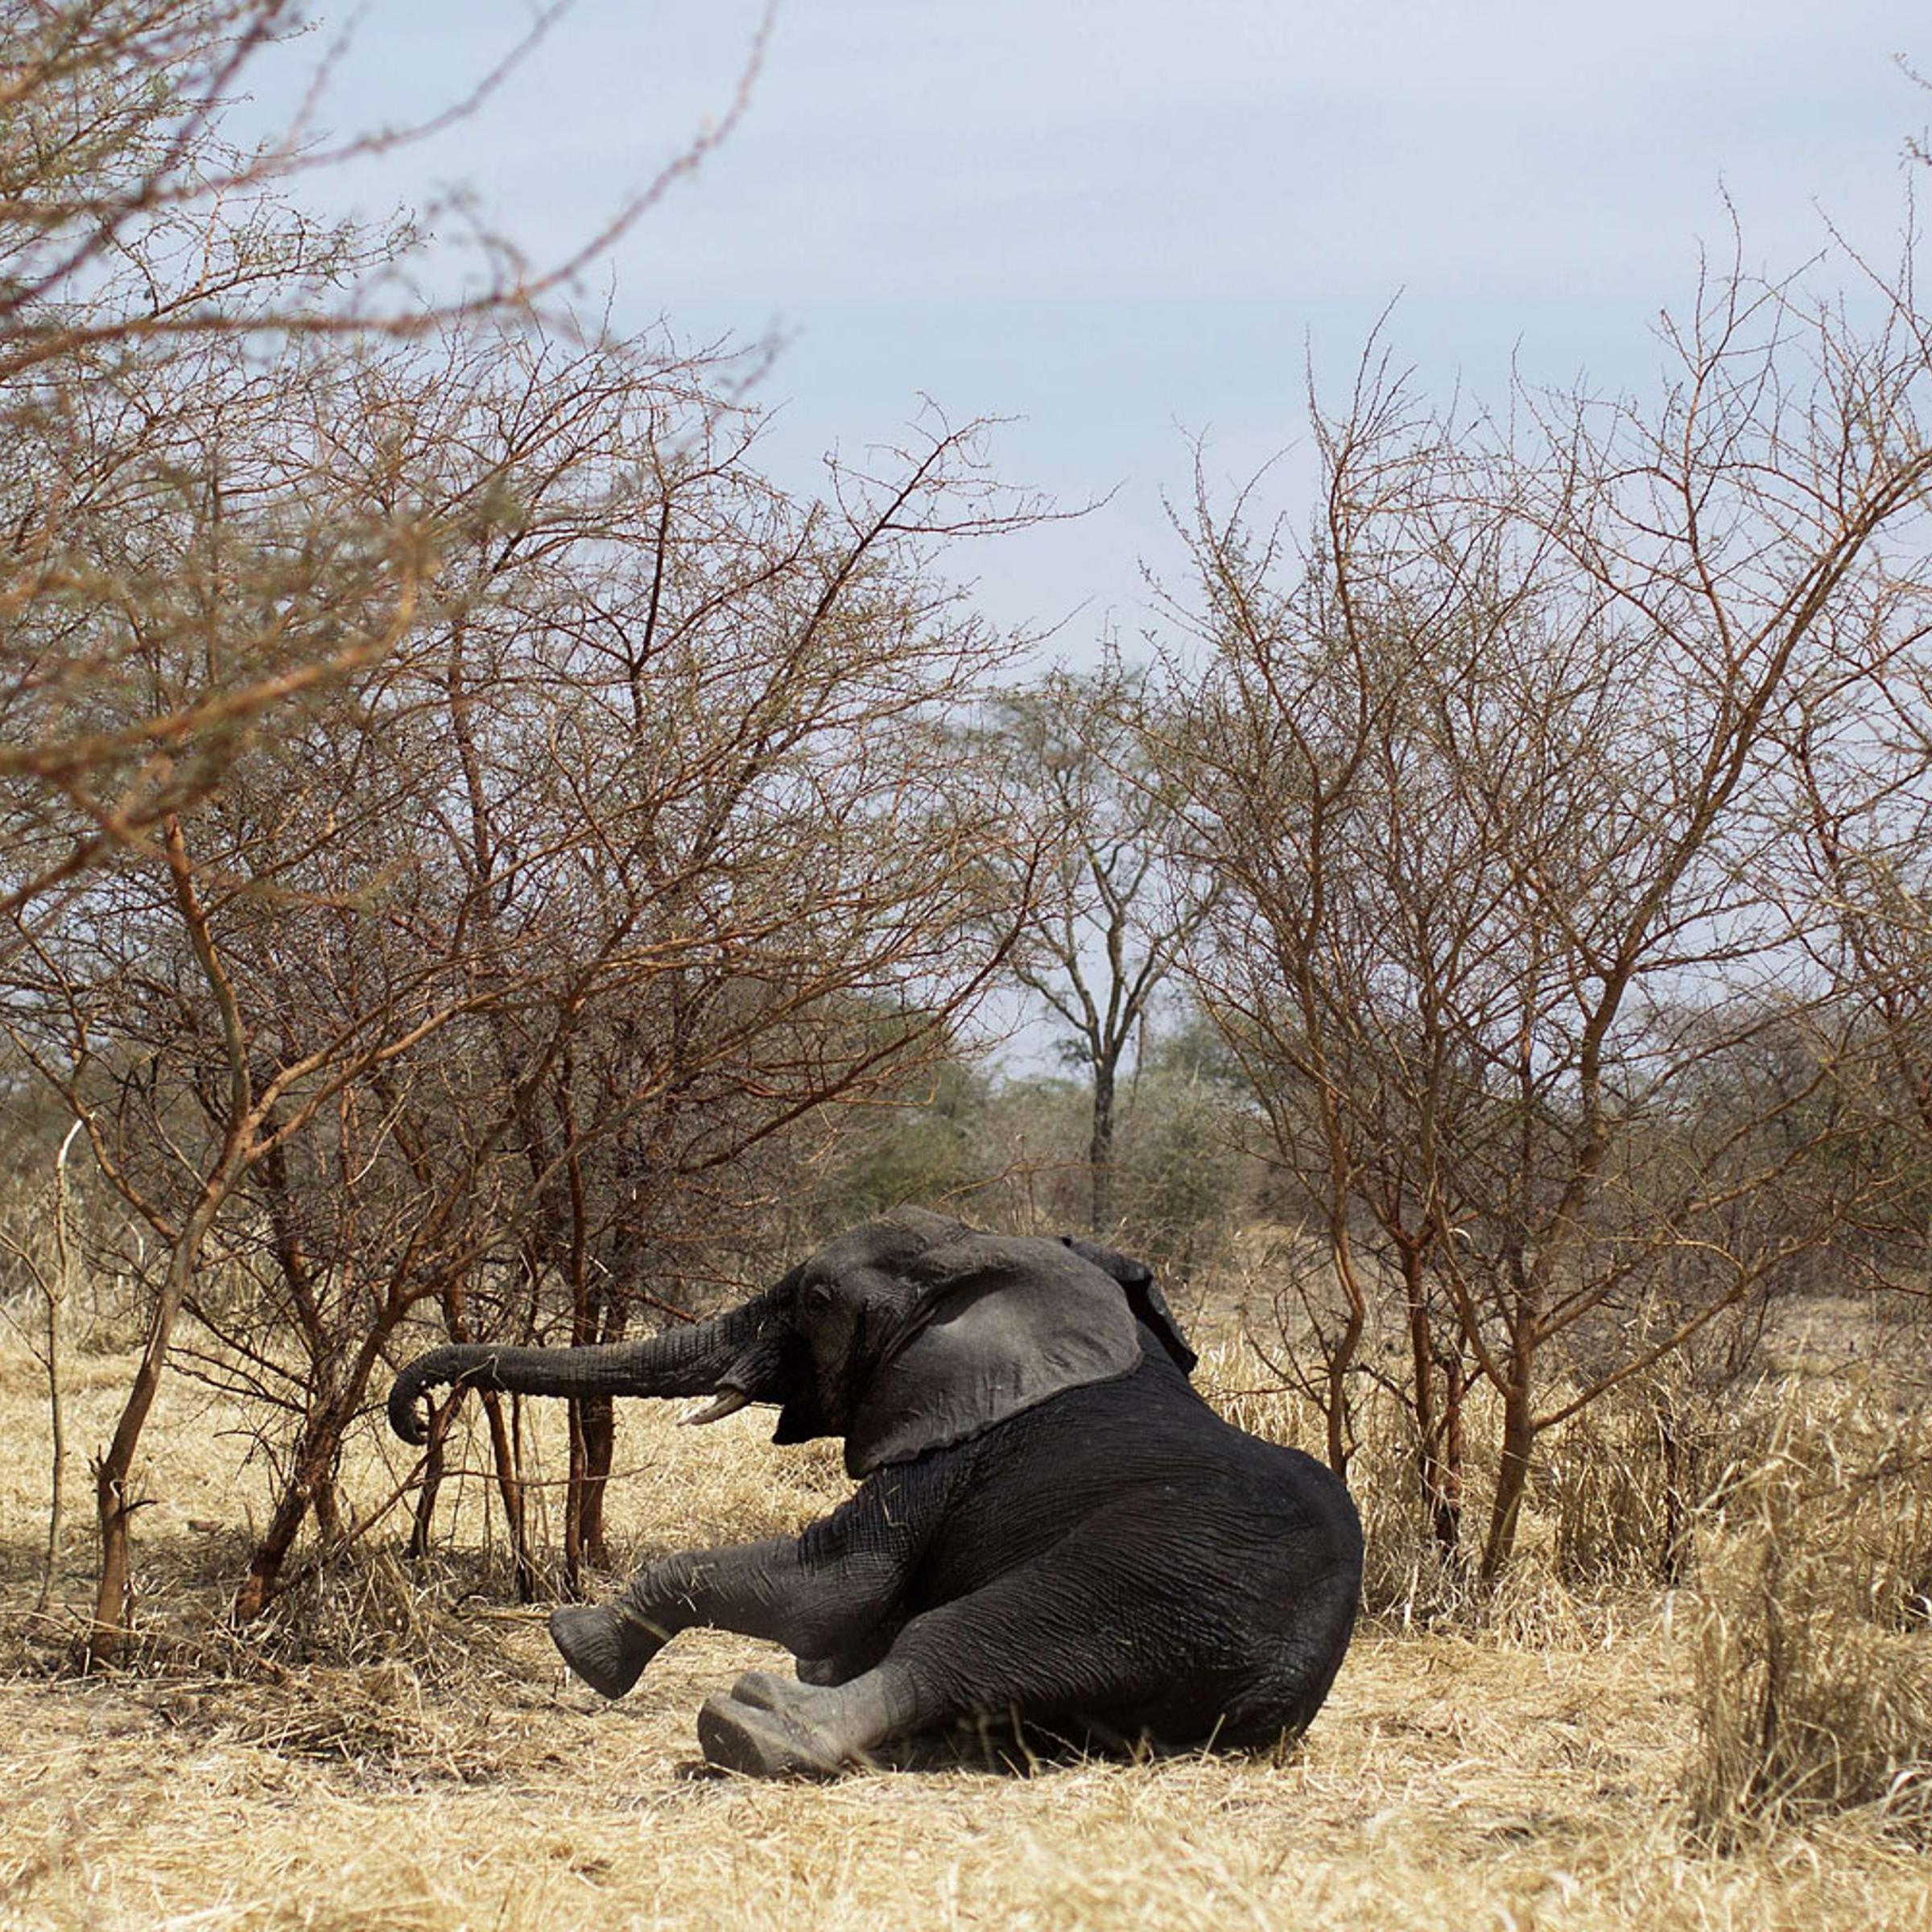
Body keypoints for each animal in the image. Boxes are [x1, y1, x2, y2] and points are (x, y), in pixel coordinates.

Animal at [387, 1208, 1362, 1778]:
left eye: (816, 1299)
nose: (417, 1415)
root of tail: (1283, 1688)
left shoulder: (948, 1454)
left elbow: (835, 1591)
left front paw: (580, 1641)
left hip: (1163, 1573)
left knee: (965, 1642)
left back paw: (754, 1726)